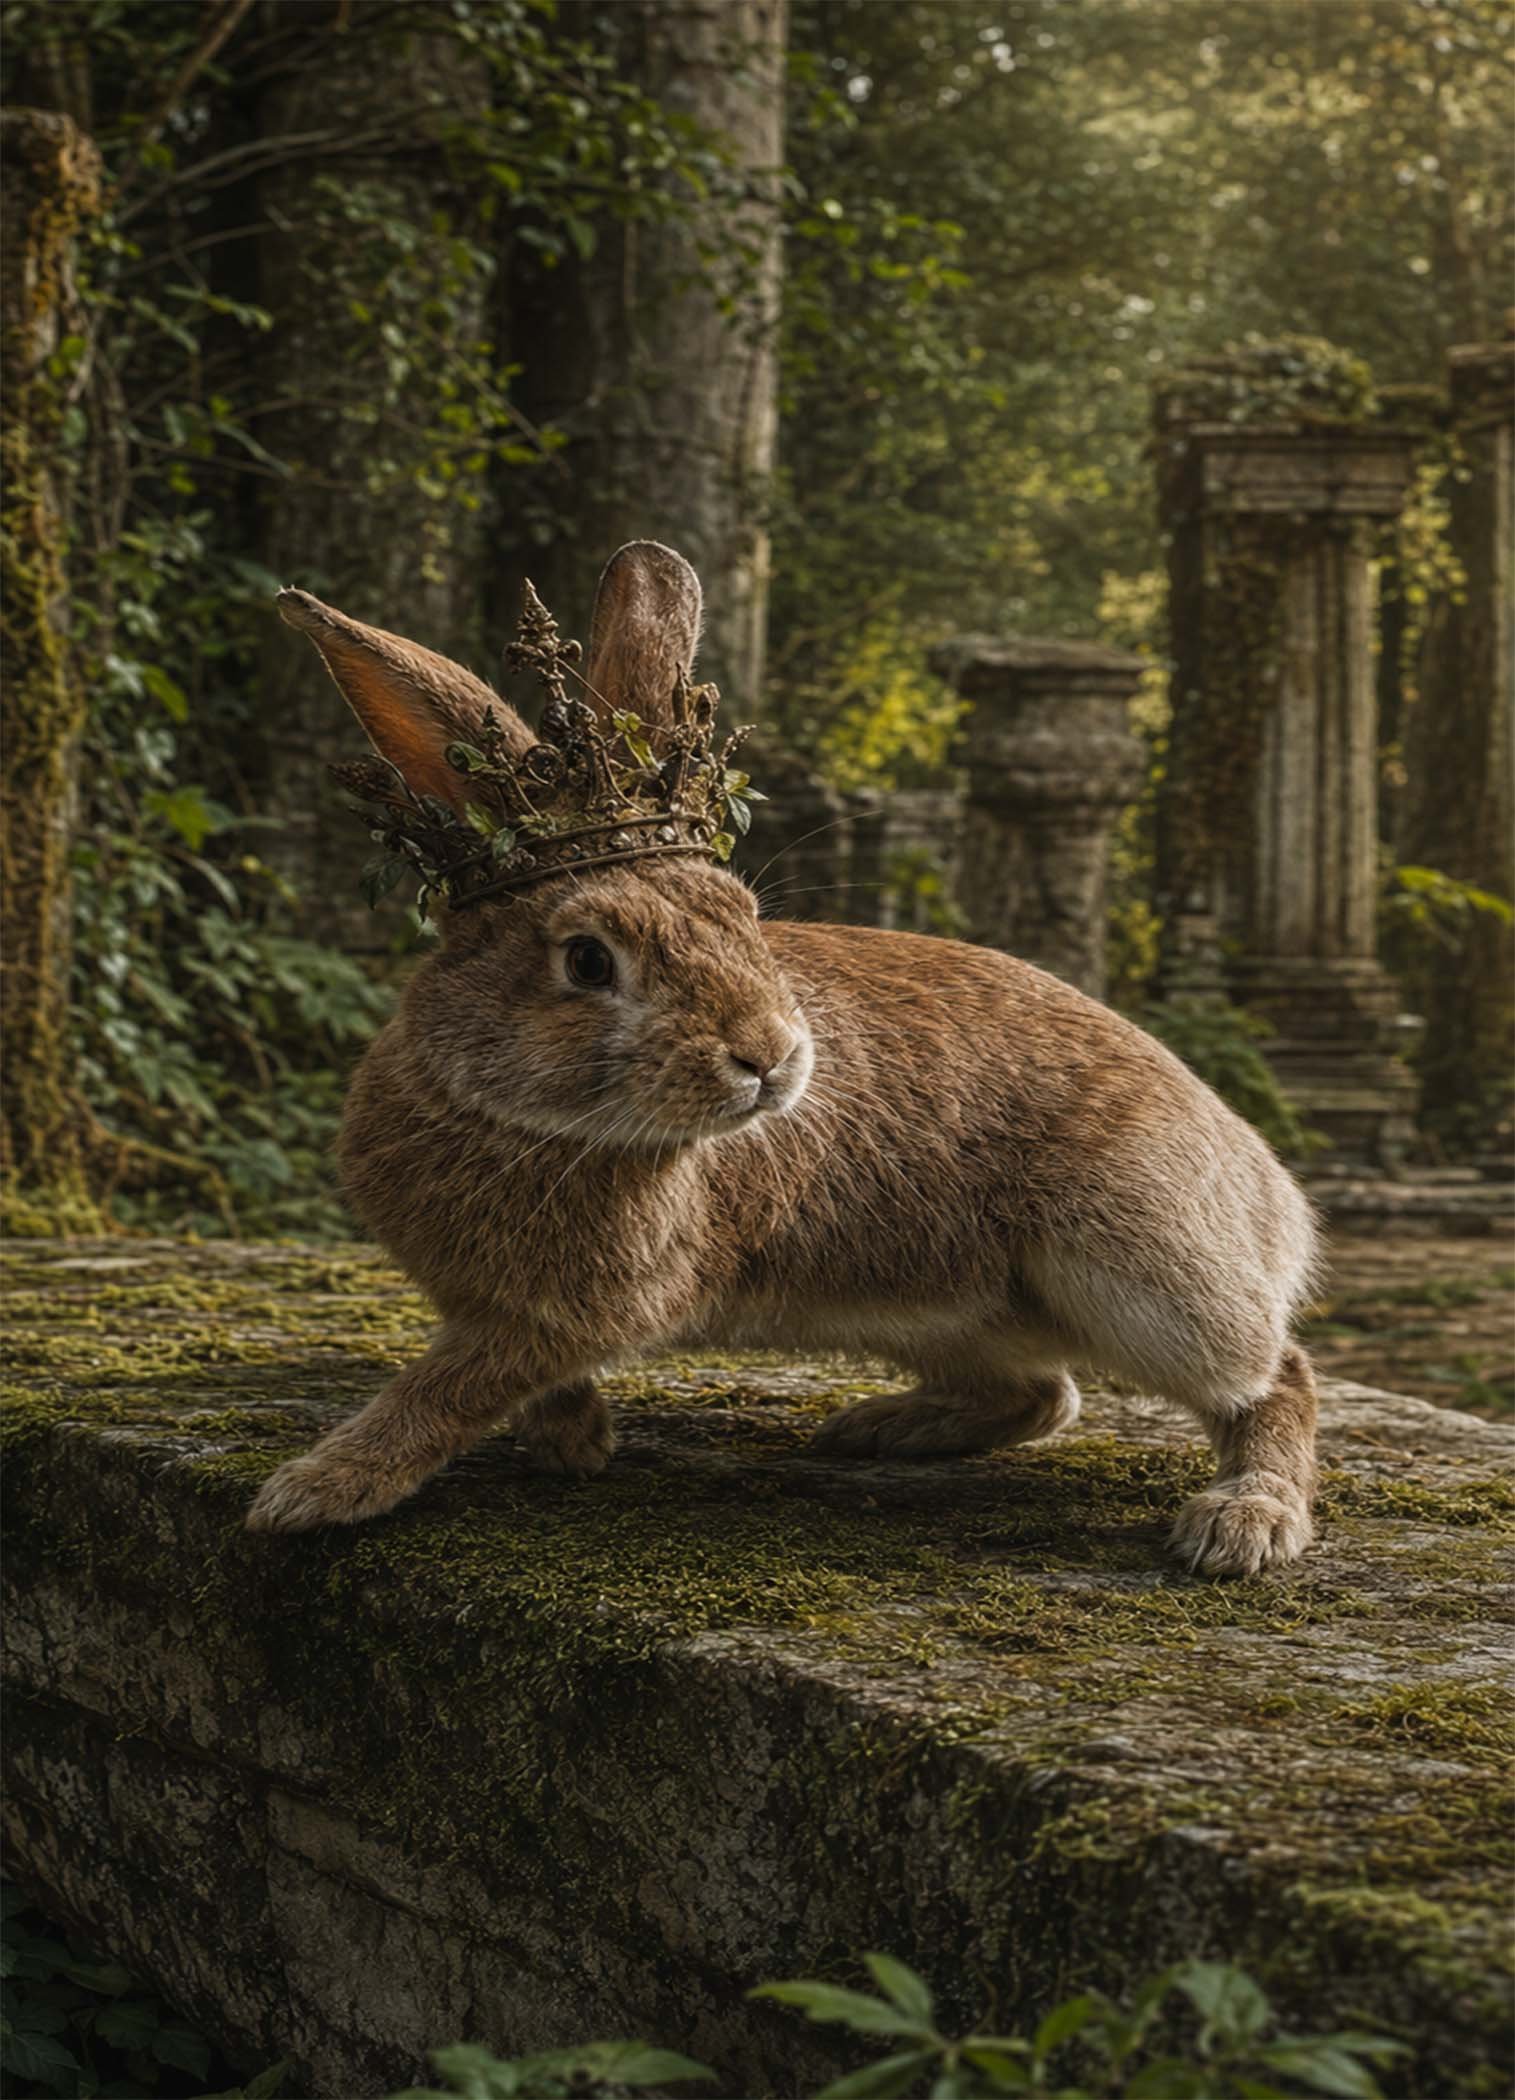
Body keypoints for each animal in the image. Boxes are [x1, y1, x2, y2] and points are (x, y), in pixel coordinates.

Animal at [246, 540, 1320, 1577]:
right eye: (587, 961)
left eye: (746, 917)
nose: (769, 1057)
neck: (514, 1116)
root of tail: (1272, 1197)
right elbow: (517, 1386)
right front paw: (572, 1441)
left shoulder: (562, 1314)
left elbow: (446, 1392)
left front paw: (312, 1491)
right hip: (943, 1312)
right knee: (1048, 1394)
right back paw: (878, 1427)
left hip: (1137, 1272)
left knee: (1271, 1375)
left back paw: (1243, 1522)